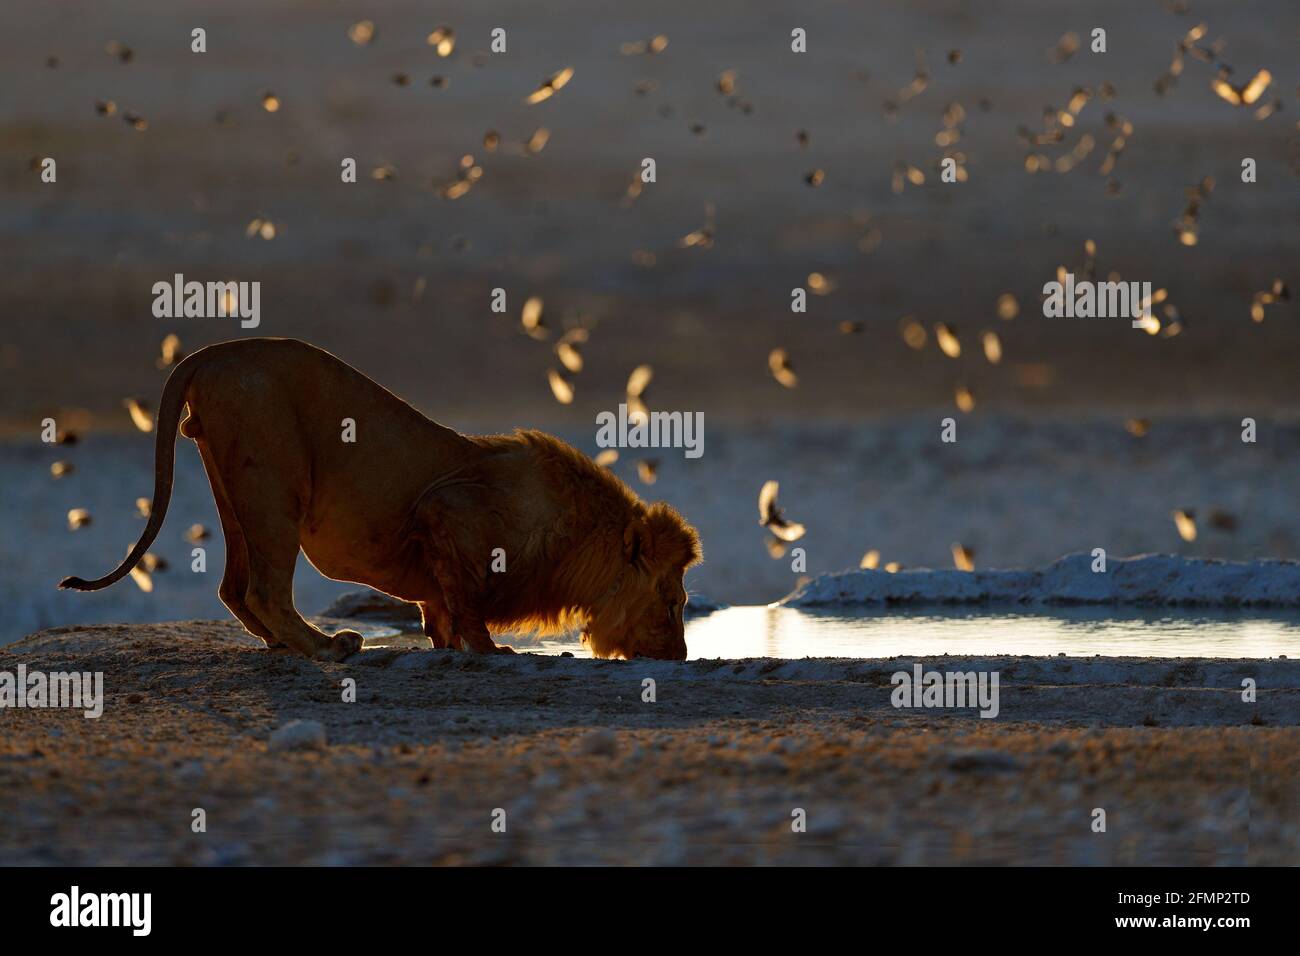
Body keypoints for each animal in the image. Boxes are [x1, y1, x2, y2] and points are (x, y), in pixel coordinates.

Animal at [63, 340, 702, 660]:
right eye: (672, 603)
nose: (680, 657)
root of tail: (208, 354)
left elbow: (440, 608)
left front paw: (445, 644)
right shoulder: (446, 511)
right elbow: (467, 604)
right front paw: (493, 650)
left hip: (235, 485)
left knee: (233, 587)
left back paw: (282, 644)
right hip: (274, 479)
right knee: (264, 589)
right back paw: (328, 648)